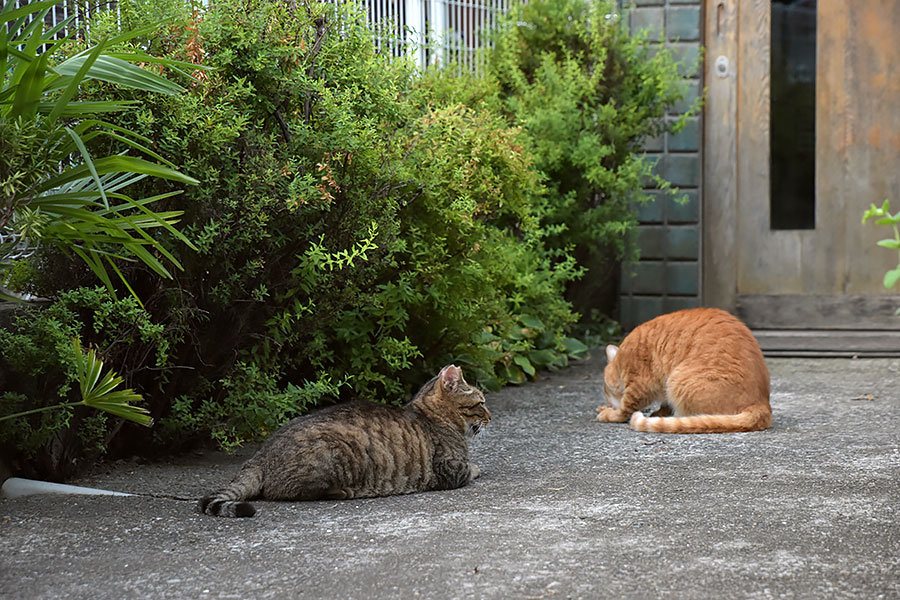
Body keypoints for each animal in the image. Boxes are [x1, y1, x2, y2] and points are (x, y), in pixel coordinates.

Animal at [200, 364, 488, 516]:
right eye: (481, 403)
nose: (491, 416)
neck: (431, 416)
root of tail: (260, 456)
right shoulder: (449, 469)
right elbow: (469, 468)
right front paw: (477, 468)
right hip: (337, 453)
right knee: (290, 492)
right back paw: (343, 491)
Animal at [596, 310, 772, 432]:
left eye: (605, 391)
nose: (608, 404)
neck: (622, 361)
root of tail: (762, 404)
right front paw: (659, 412)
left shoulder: (639, 385)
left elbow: (624, 409)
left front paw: (608, 414)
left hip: (677, 380)